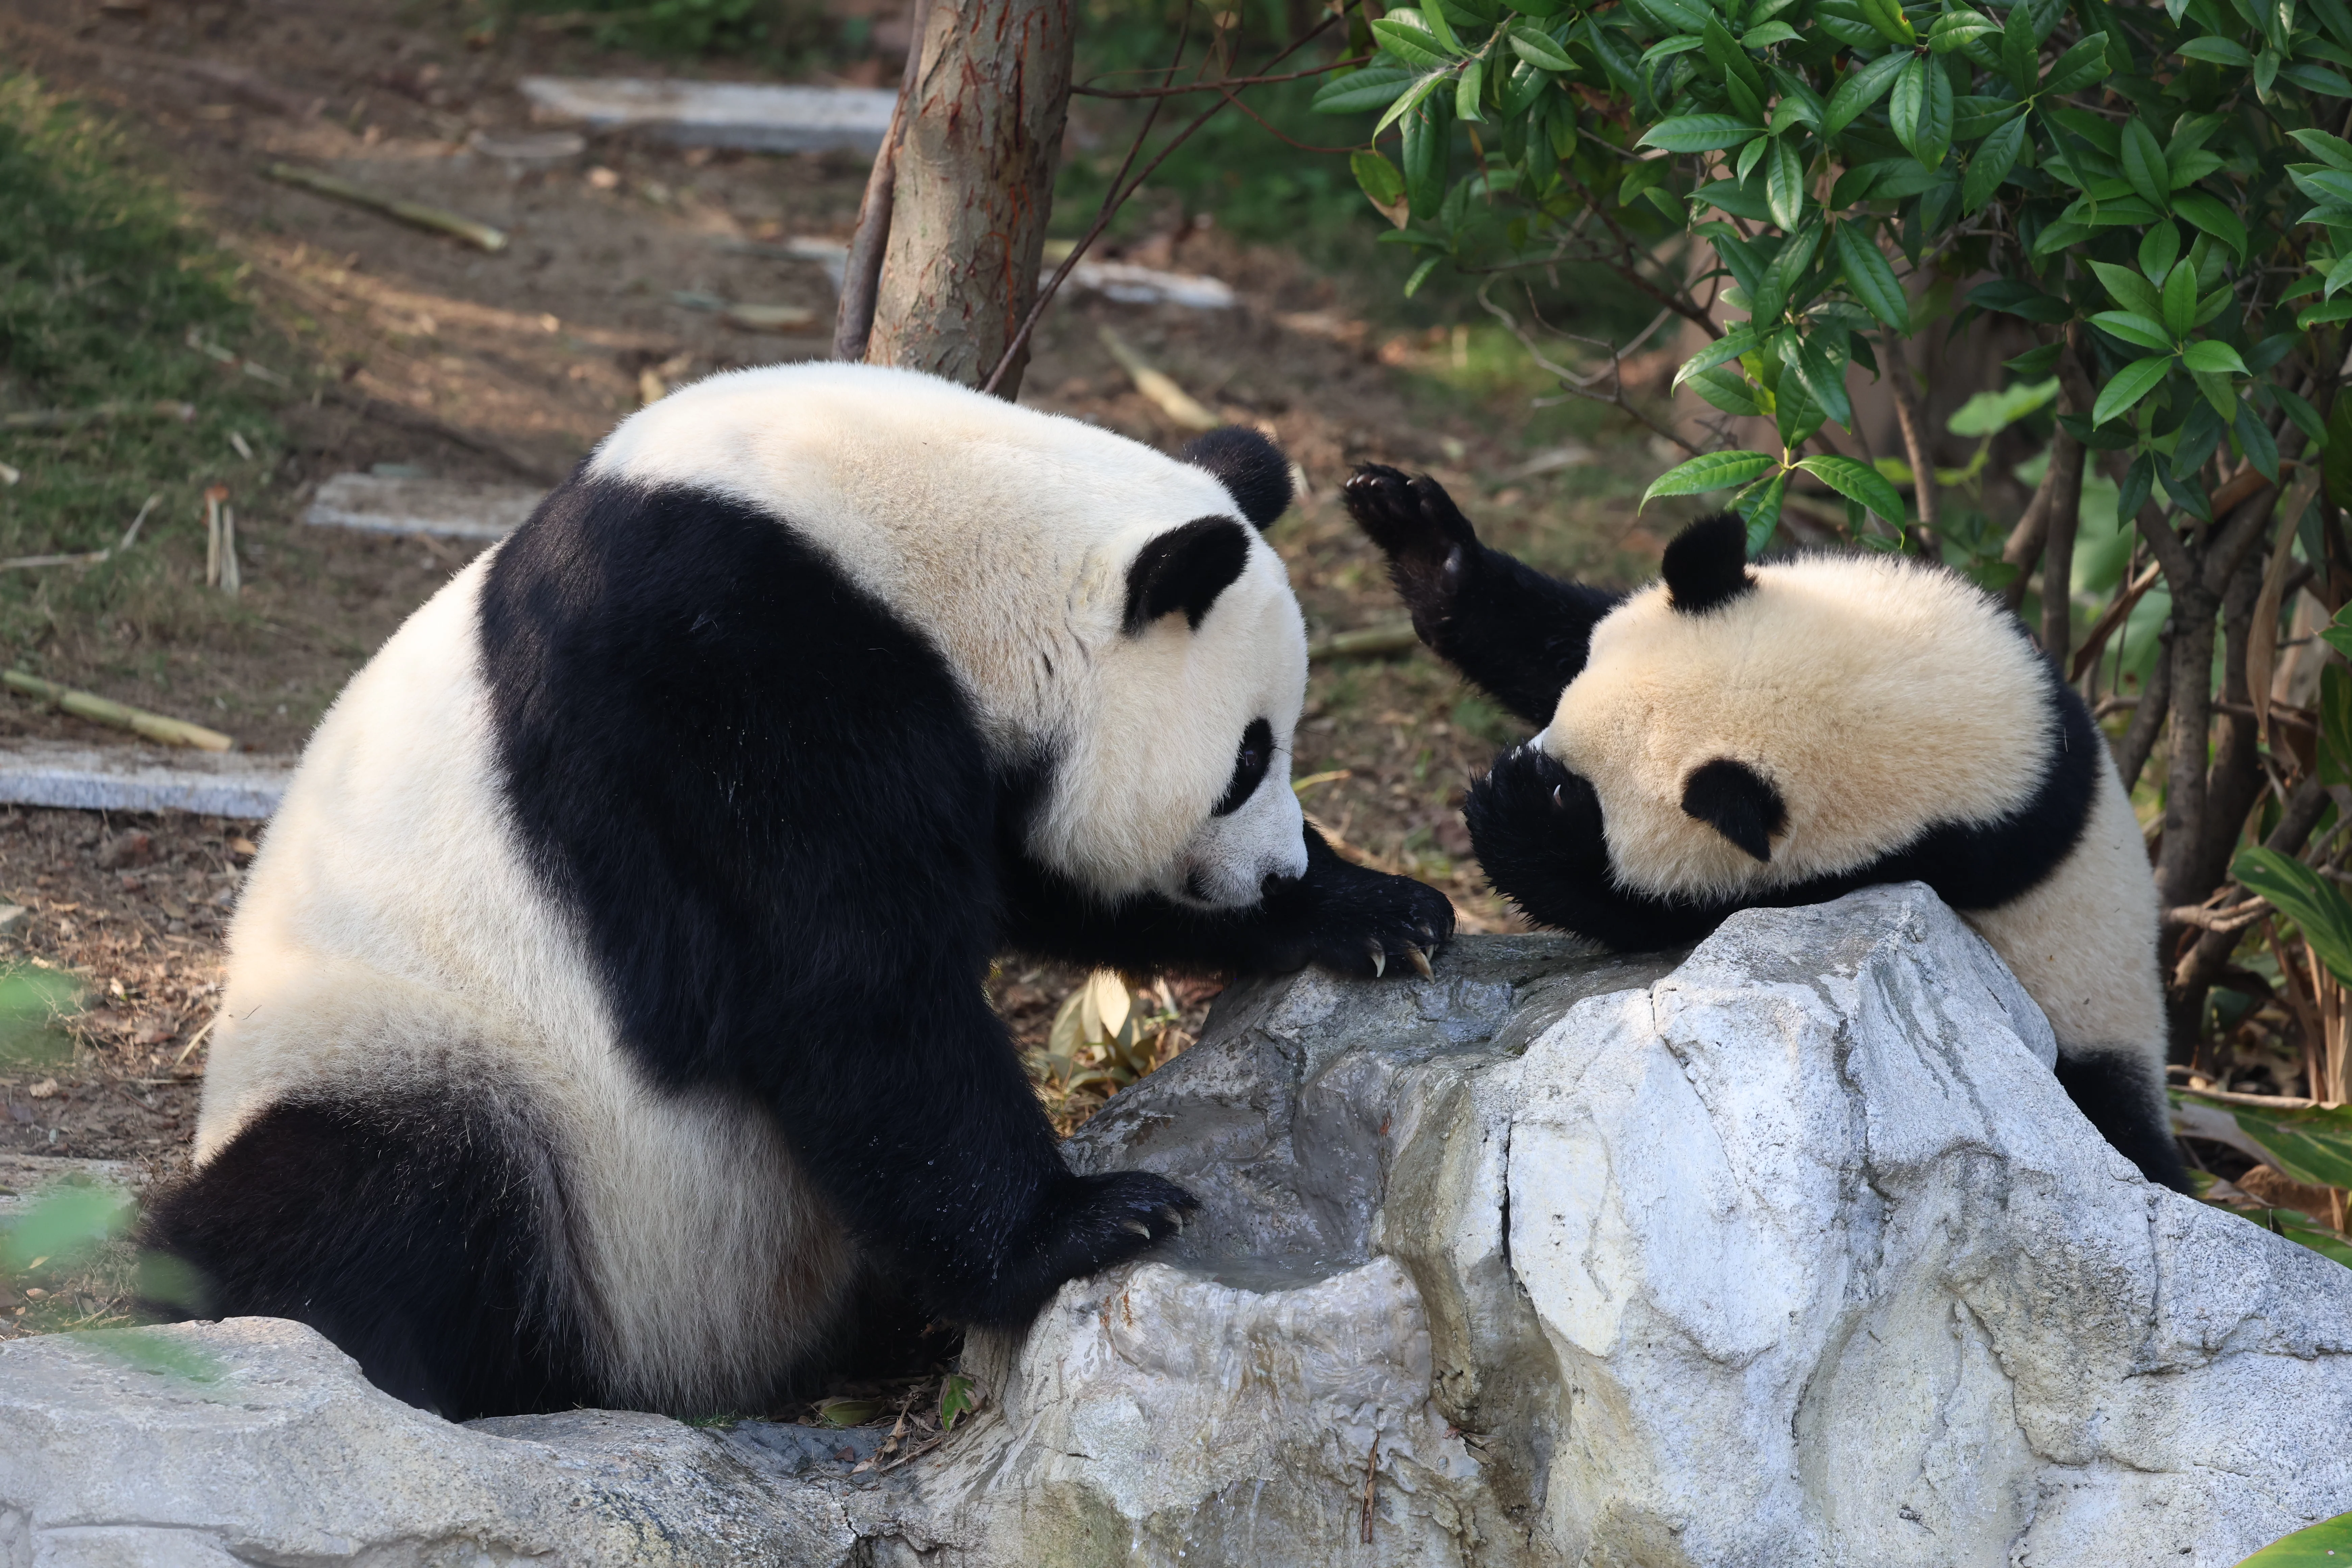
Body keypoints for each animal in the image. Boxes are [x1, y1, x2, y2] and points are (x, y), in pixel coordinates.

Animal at [140, 363, 1455, 1421]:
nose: (1274, 871)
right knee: (368, 1204)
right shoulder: (722, 679)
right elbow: (843, 983)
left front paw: (1380, 913)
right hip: (433, 1064)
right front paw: (1088, 1224)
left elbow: (1035, 884)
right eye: (1246, 756)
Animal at [1341, 464, 2186, 1193]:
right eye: (1562, 712)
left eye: (1580, 794)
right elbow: (1547, 631)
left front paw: (1515, 825)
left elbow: (1664, 916)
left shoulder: (1909, 858)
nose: (1524, 766)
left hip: (2087, 1025)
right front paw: (1420, 536)